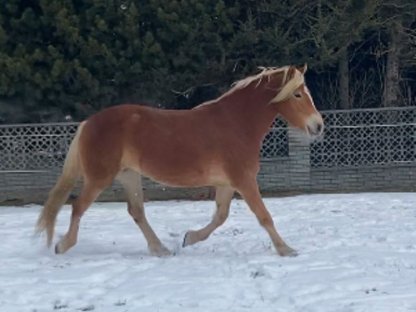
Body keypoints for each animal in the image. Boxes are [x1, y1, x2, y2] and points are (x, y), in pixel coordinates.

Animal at [35, 64, 324, 258]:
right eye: (298, 94)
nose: (318, 126)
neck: (236, 123)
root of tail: (88, 123)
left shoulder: (227, 183)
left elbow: (221, 216)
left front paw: (189, 238)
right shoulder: (244, 180)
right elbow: (264, 216)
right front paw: (286, 249)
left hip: (129, 175)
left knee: (136, 211)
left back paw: (160, 249)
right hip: (99, 177)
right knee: (78, 206)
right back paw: (63, 245)